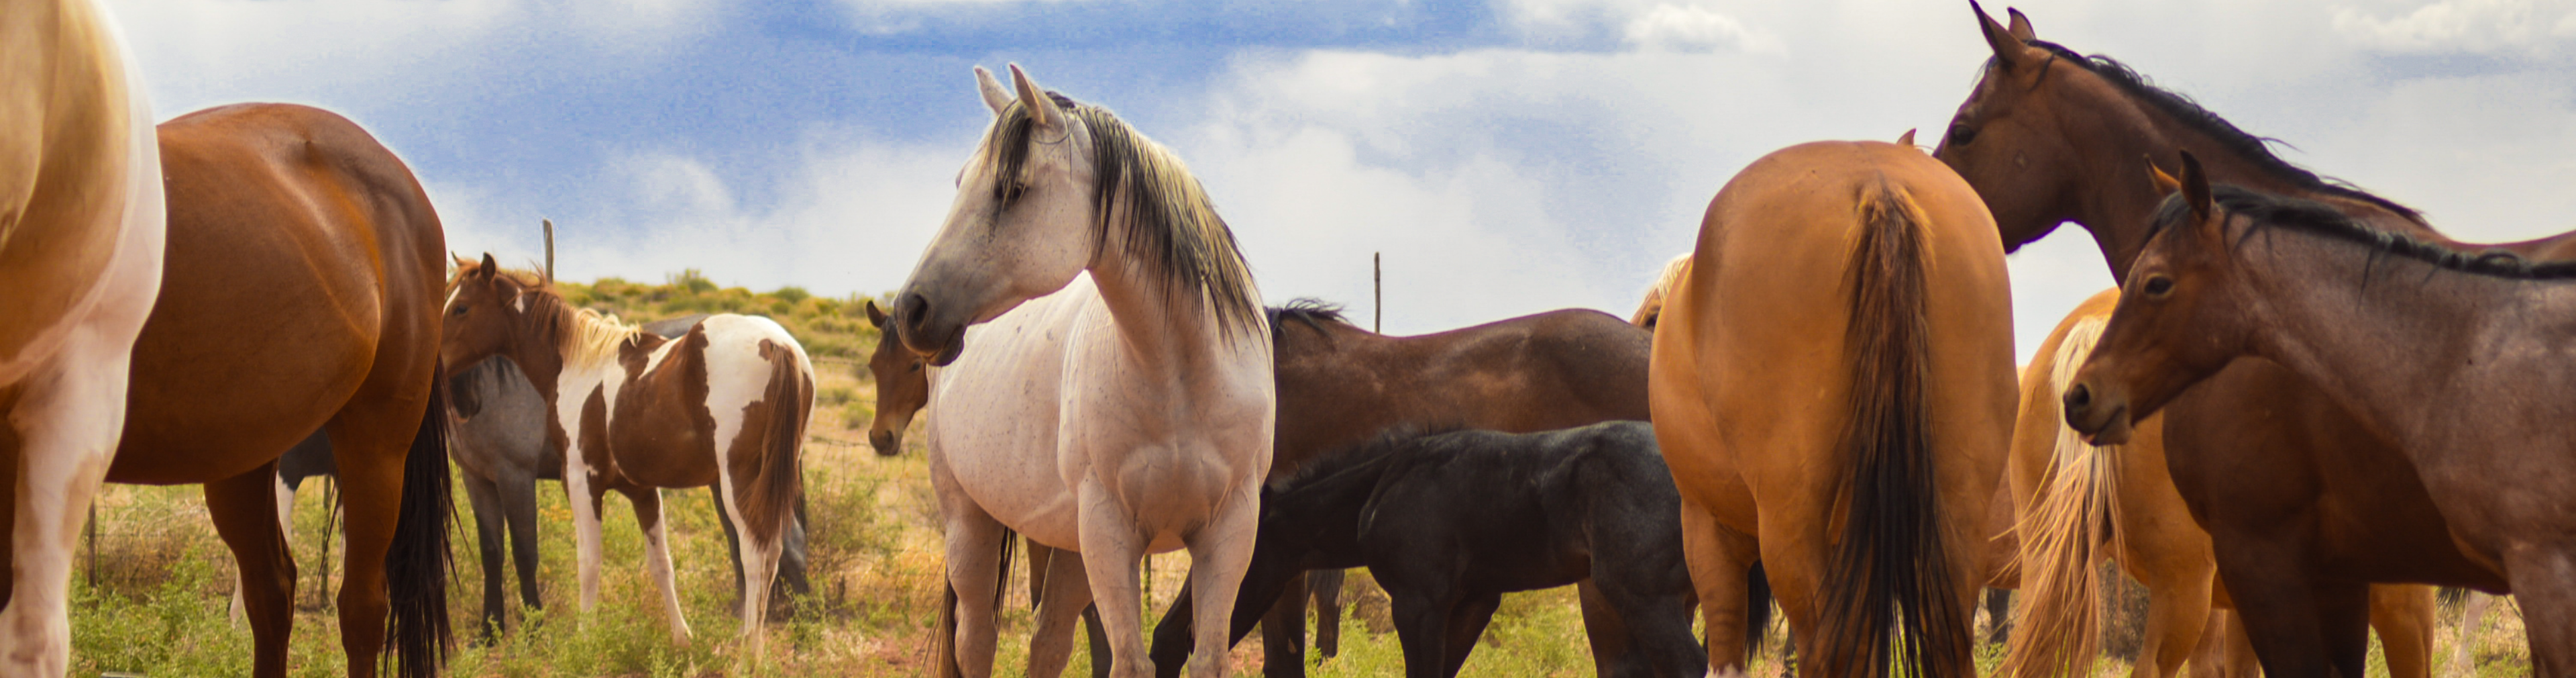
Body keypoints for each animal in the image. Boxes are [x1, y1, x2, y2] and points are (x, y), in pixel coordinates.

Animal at [440, 256, 814, 657]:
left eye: (461, 308)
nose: (439, 367)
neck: (578, 366)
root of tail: (777, 345)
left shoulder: (574, 482)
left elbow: (585, 561)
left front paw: (583, 640)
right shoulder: (643, 491)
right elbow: (661, 564)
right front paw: (682, 638)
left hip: (740, 483)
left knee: (758, 554)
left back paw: (750, 654)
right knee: (775, 551)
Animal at [886, 65, 1274, 678]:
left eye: (1012, 189)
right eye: (960, 182)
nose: (911, 310)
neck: (1181, 379)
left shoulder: (1229, 533)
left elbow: (1206, 658)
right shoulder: (1110, 534)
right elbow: (1130, 663)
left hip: (1070, 548)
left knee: (1047, 641)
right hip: (973, 525)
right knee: (977, 639)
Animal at [1216, 423, 1705, 678]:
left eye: (1243, 556)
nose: (1213, 629)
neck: (1384, 482)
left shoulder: (1418, 603)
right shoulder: (1473, 601)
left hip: (1644, 599)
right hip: (1679, 602)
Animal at [1651, 139, 2014, 677]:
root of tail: (1878, 184)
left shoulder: (1707, 526)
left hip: (1791, 522)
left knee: (1826, 645)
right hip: (1959, 507)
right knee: (1945, 636)